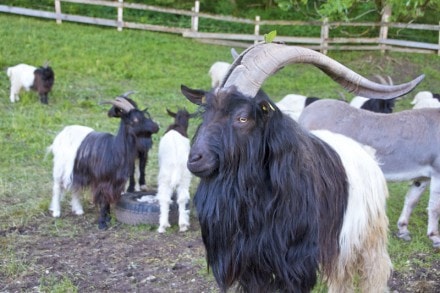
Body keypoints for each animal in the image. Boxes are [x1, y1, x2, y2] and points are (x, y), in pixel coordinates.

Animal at [47, 93, 160, 228]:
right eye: (135, 120)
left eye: (144, 115)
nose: (156, 127)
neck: (114, 149)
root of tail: (63, 133)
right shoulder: (102, 181)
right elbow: (103, 200)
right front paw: (102, 223)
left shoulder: (113, 182)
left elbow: (108, 200)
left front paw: (108, 218)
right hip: (60, 167)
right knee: (57, 187)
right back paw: (56, 212)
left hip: (77, 170)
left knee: (75, 187)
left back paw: (78, 210)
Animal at [180, 42, 422, 292]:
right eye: (206, 113)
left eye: (242, 118)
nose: (195, 159)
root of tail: (367, 156)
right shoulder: (251, 264)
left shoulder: (296, 263)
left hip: (368, 237)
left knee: (373, 276)